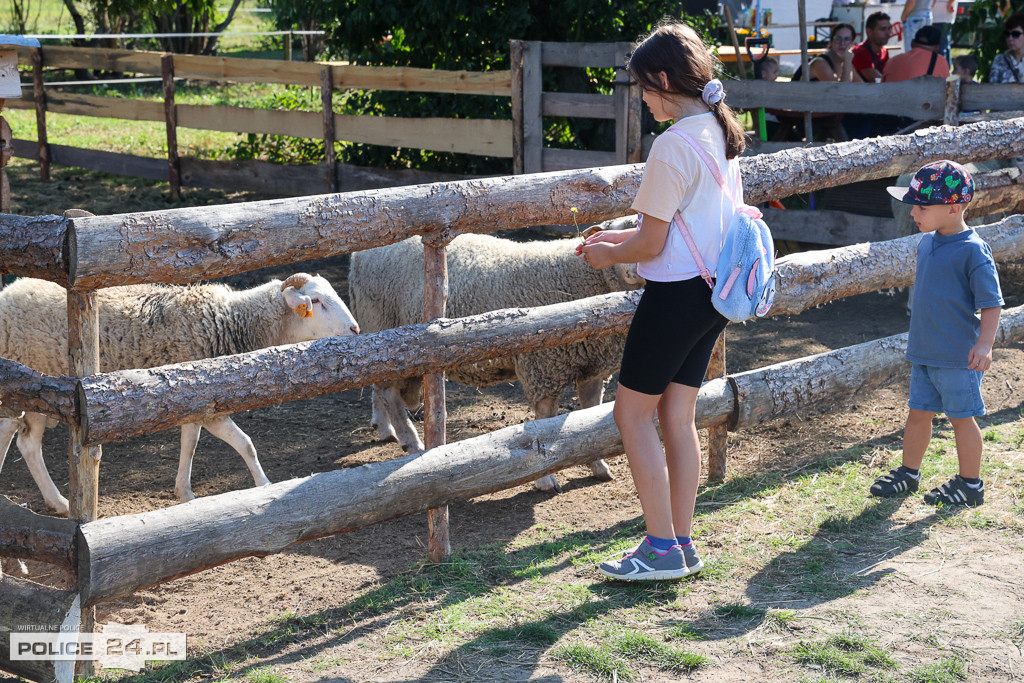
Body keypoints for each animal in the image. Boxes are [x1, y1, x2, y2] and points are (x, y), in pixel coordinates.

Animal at [0, 270, 360, 511]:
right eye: (316, 301)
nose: (356, 329)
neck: (231, 322)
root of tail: (9, 292)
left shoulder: (196, 398)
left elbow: (191, 442)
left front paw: (184, 492)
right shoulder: (210, 401)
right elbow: (246, 444)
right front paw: (264, 487)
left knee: (19, 438)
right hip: (28, 379)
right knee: (19, 439)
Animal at [348, 227, 643, 493]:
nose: (637, 268)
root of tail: (359, 256)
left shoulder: (592, 366)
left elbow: (589, 413)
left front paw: (598, 465)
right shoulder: (542, 366)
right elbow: (544, 422)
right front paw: (545, 479)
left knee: (379, 386)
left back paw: (384, 427)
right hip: (383, 320)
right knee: (388, 391)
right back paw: (411, 442)